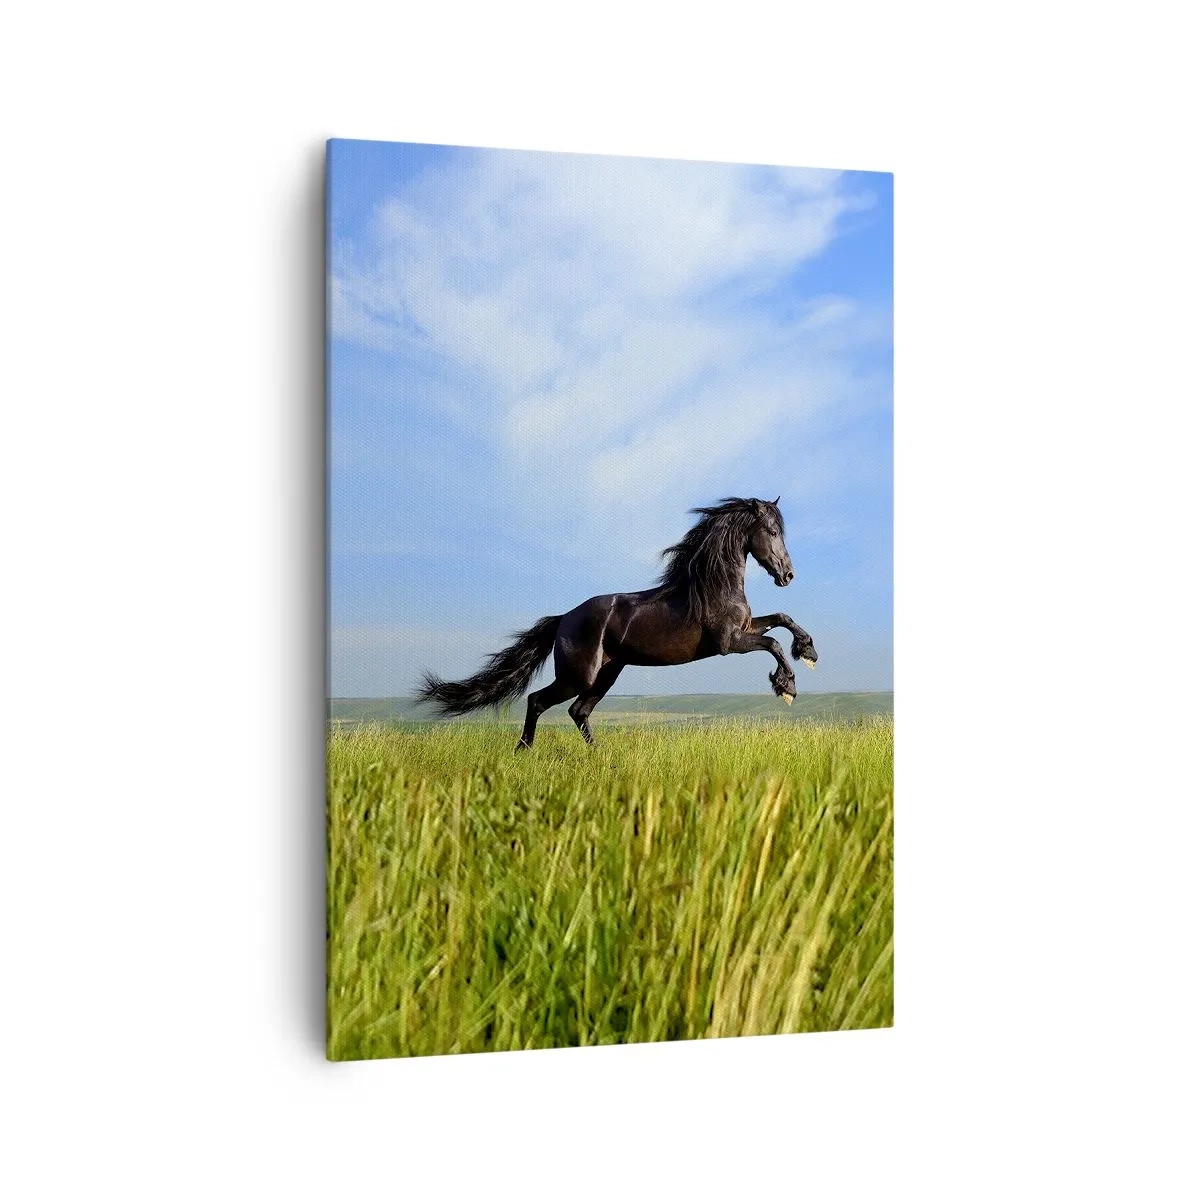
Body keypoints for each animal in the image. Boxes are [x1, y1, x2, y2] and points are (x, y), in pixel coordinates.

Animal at [415, 497, 818, 750]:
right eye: (772, 531)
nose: (788, 575)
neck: (713, 586)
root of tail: (563, 619)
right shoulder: (728, 642)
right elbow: (773, 643)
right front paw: (787, 686)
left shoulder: (745, 628)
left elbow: (781, 619)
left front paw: (808, 652)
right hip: (579, 676)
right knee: (538, 701)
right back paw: (523, 751)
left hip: (608, 673)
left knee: (578, 711)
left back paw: (600, 756)